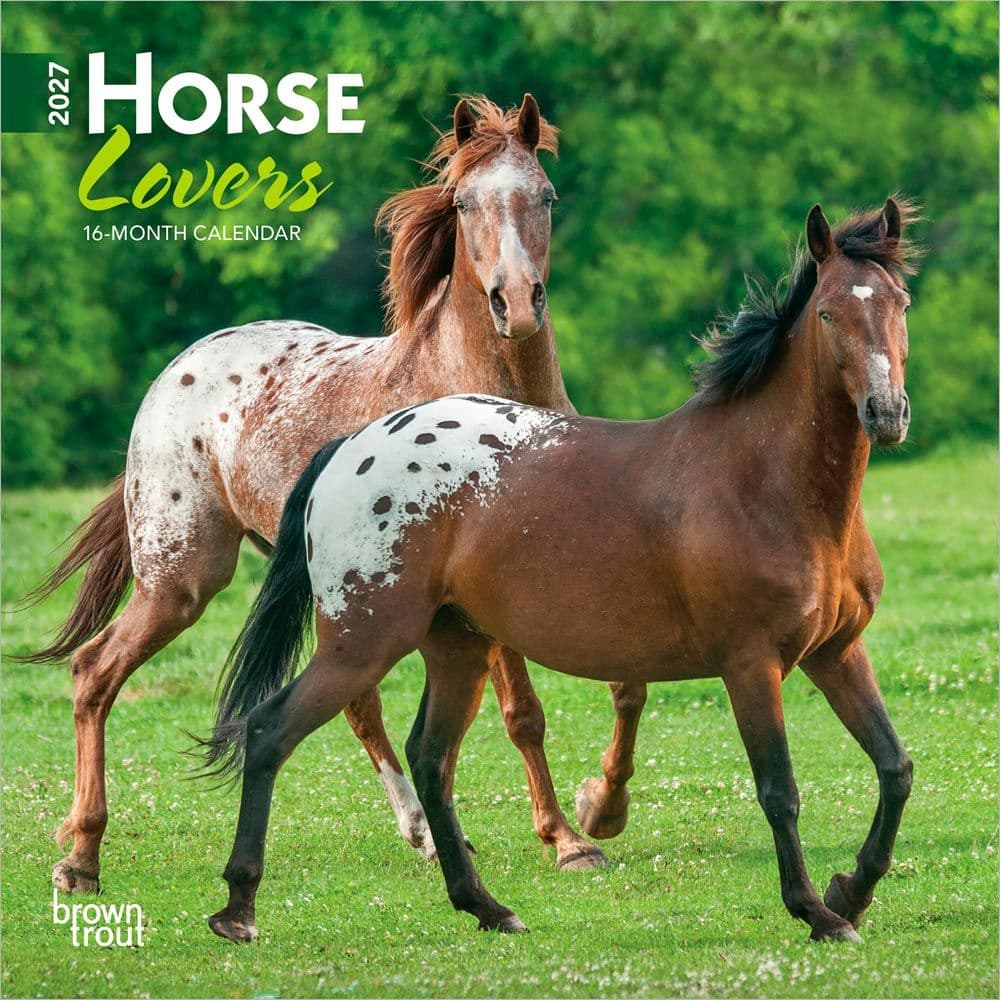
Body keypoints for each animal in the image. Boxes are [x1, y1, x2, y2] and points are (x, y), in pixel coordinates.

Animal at [19, 94, 616, 895]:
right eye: (463, 203)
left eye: (546, 196)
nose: (515, 303)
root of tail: (178, 369)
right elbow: (521, 709)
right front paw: (568, 841)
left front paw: (572, 828)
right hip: (181, 581)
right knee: (93, 672)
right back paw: (81, 856)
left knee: (357, 704)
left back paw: (423, 834)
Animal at [203, 197, 918, 944]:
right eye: (829, 314)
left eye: (900, 302)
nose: (887, 413)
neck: (763, 483)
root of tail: (350, 447)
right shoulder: (752, 664)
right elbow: (780, 791)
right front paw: (816, 911)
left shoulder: (837, 652)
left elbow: (894, 767)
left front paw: (851, 890)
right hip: (361, 644)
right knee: (270, 731)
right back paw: (238, 909)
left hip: (456, 648)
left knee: (430, 759)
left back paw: (486, 906)